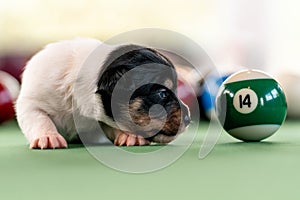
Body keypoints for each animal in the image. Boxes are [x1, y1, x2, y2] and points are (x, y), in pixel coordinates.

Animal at [15, 38, 191, 149]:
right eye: (162, 94)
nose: (189, 119)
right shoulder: (31, 102)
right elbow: (39, 119)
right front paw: (48, 137)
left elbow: (109, 125)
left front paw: (129, 136)